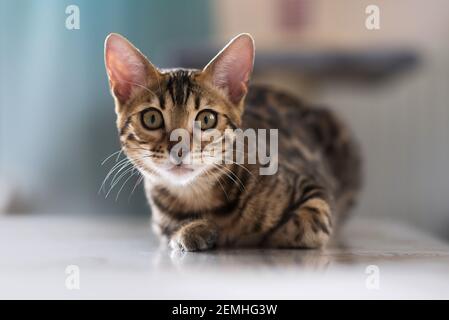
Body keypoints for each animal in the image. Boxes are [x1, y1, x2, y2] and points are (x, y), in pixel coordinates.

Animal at [104, 33, 360, 251]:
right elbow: (171, 231)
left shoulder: (313, 185)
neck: (197, 196)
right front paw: (192, 229)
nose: (179, 149)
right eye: (151, 118)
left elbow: (307, 223)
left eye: (206, 119)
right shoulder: (161, 223)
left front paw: (271, 235)